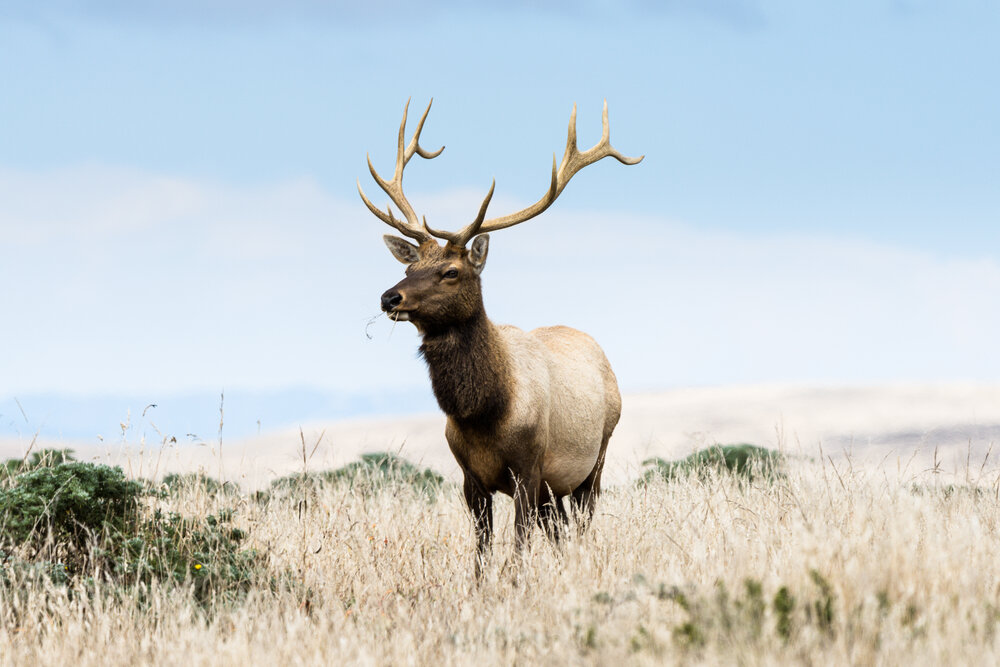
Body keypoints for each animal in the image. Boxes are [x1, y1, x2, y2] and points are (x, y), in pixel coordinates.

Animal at [358, 99, 640, 576]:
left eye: (451, 271)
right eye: (410, 266)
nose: (389, 297)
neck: (486, 413)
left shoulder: (529, 468)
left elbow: (519, 548)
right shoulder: (471, 478)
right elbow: (482, 552)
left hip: (595, 458)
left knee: (582, 525)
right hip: (555, 486)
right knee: (560, 530)